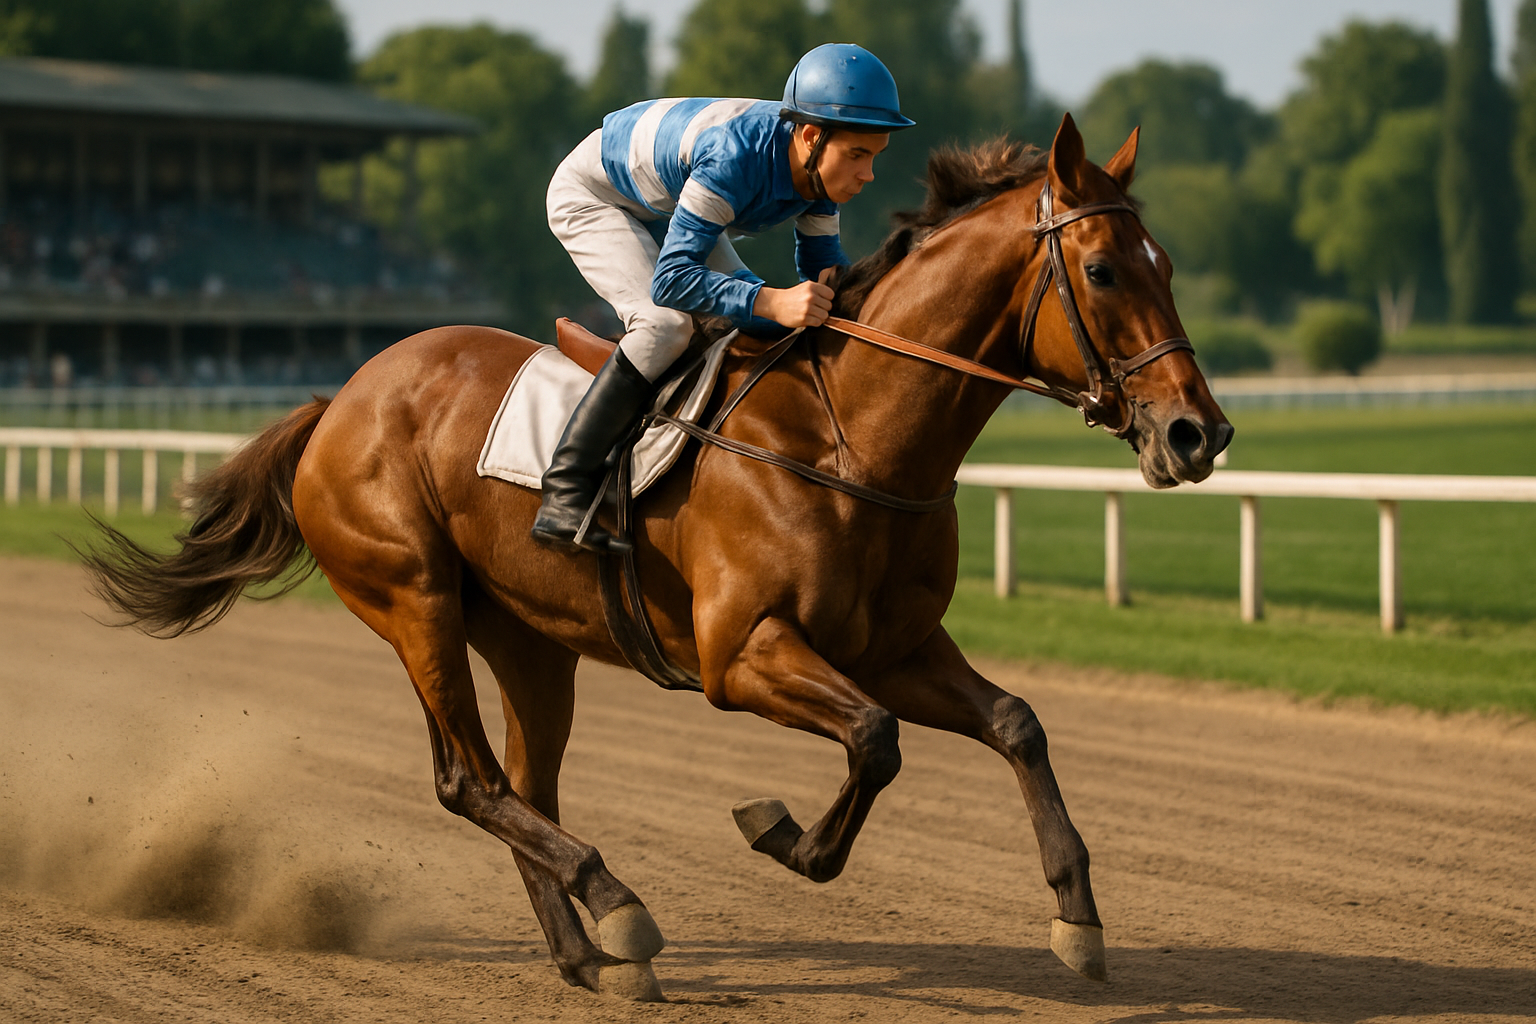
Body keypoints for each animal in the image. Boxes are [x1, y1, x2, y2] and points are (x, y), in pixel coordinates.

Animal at [82, 114, 1231, 1001]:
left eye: (1171, 267)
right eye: (1103, 269)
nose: (1198, 434)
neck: (849, 437)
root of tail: (340, 399)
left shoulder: (896, 645)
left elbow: (1014, 722)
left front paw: (1078, 917)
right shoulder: (742, 654)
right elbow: (875, 739)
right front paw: (781, 832)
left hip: (531, 642)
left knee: (523, 785)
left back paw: (590, 957)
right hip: (414, 600)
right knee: (468, 781)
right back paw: (620, 907)